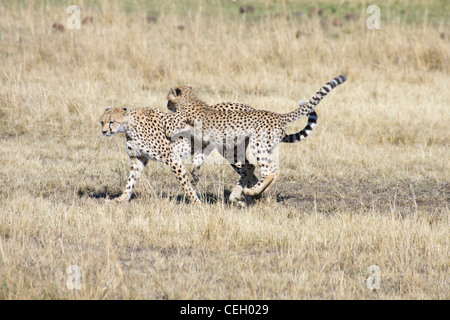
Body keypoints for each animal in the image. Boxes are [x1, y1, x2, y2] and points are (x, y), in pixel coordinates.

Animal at [167, 75, 346, 200]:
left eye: (168, 99)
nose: (167, 106)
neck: (189, 99)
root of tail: (279, 115)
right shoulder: (205, 142)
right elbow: (198, 159)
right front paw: (195, 174)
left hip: (256, 145)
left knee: (269, 170)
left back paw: (251, 191)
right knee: (268, 170)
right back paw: (256, 192)